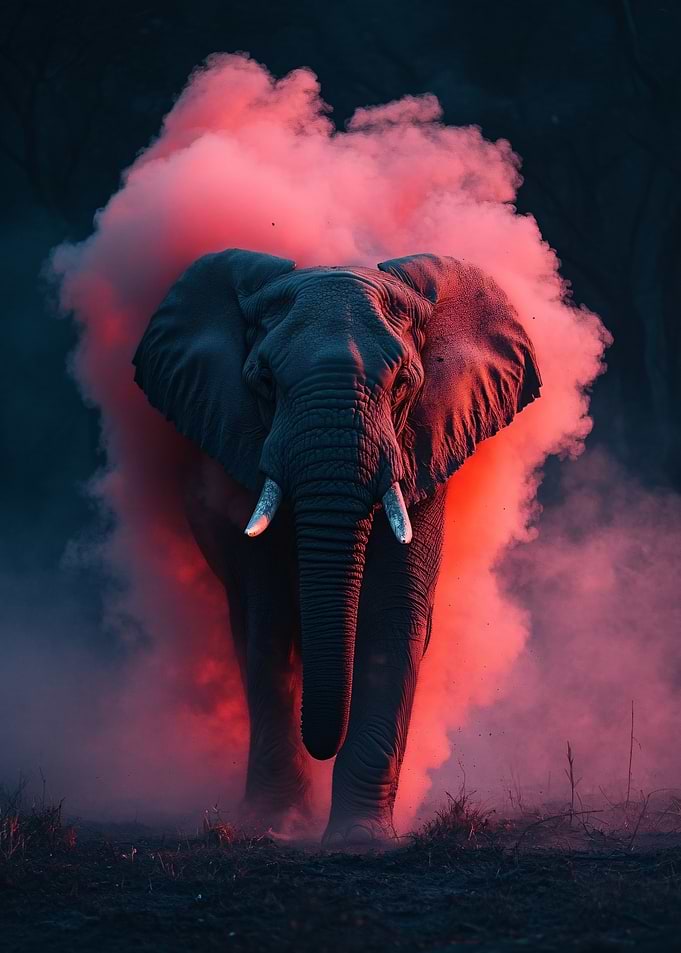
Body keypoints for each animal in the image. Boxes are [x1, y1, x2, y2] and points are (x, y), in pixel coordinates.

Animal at [132, 249, 541, 846]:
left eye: (404, 383)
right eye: (264, 381)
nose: (322, 745)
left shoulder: (422, 448)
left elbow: (392, 614)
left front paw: (359, 841)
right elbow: (268, 619)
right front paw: (275, 827)